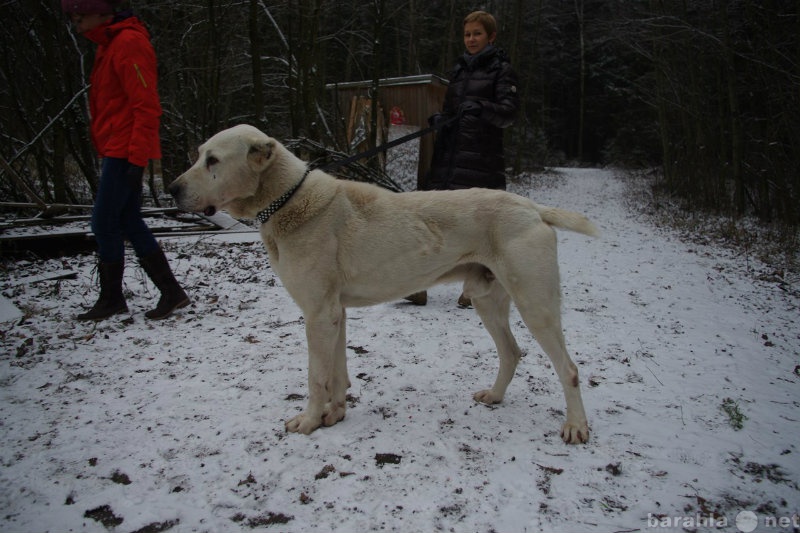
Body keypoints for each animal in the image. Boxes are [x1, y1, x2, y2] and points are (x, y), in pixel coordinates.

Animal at [172, 123, 596, 440]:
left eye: (212, 160)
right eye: (199, 154)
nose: (173, 189)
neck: (287, 200)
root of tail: (533, 208)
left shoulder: (317, 315)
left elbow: (316, 376)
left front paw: (308, 422)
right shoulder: (335, 314)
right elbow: (337, 372)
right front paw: (335, 415)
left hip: (535, 305)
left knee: (569, 369)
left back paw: (576, 426)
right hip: (486, 299)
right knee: (511, 352)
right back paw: (494, 395)